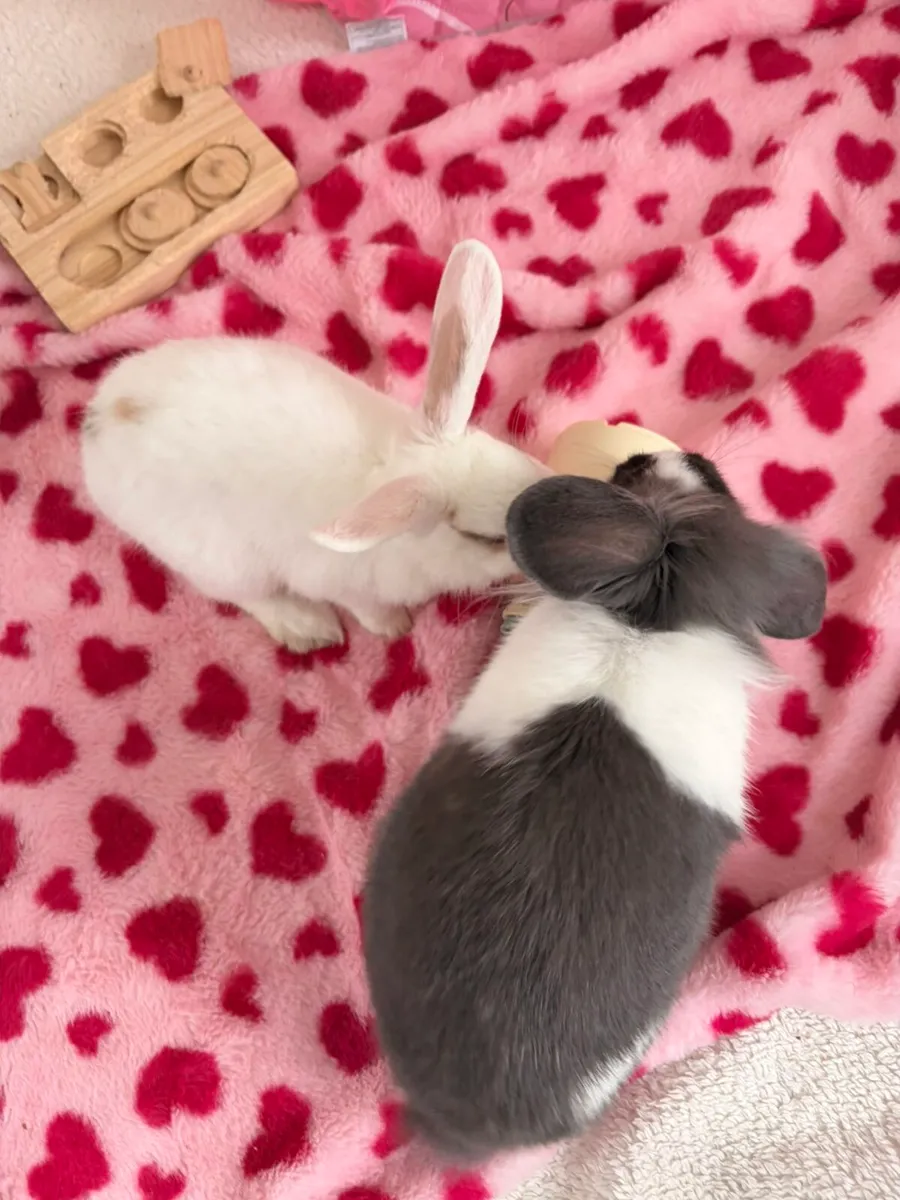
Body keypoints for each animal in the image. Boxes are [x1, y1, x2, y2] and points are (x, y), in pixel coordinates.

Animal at [80, 240, 545, 652]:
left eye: (522, 458)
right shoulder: (341, 583)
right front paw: (395, 627)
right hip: (223, 564)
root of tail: (100, 417)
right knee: (248, 596)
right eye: (484, 538)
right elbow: (367, 609)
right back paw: (309, 628)